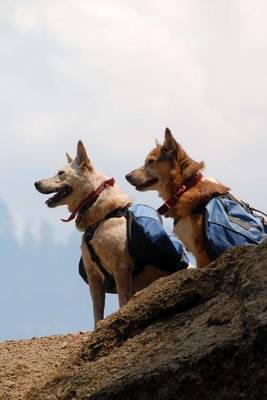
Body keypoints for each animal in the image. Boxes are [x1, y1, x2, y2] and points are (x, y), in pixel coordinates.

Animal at [34, 142, 177, 326]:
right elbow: (97, 311)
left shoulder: (121, 266)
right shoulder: (93, 274)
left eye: (61, 173)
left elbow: (122, 301)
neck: (98, 219)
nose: (36, 183)